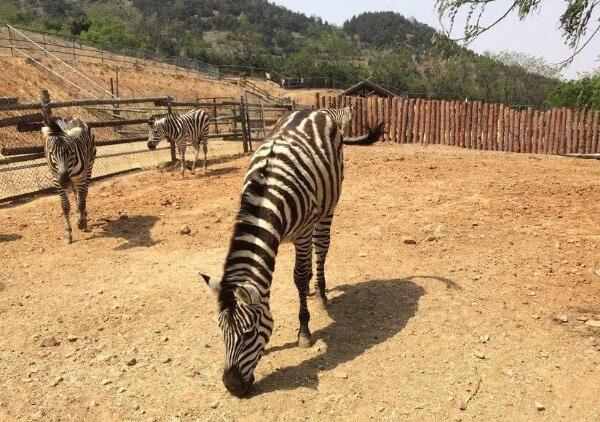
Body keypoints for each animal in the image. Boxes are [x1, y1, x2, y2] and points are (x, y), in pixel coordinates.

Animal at [42, 117, 96, 246]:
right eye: (51, 153)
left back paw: (83, 215)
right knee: (77, 195)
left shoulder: (79, 179)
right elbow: (65, 206)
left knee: (83, 195)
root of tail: (73, 117)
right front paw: (68, 233)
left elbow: (81, 200)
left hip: (88, 168)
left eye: (71, 152)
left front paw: (81, 222)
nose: (65, 181)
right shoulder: (56, 181)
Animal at [199, 108, 382, 396]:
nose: (232, 387)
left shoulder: (303, 234)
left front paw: (304, 331)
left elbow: (300, 277)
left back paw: (320, 292)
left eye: (249, 333)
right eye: (221, 331)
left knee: (322, 248)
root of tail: (316, 110)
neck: (268, 194)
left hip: (328, 207)